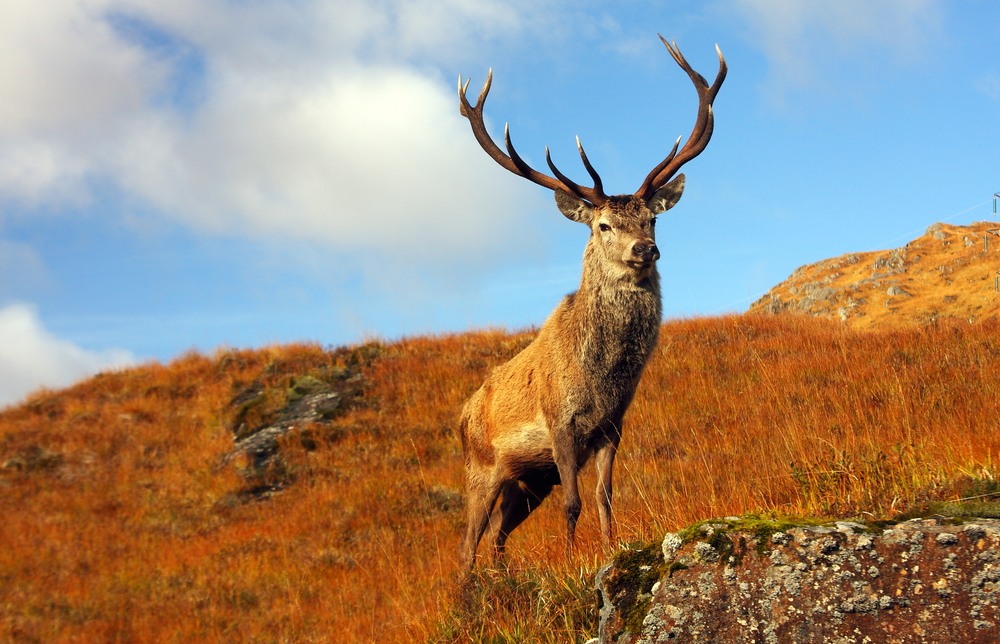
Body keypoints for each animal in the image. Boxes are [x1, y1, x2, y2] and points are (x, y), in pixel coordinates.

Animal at [456, 35, 728, 568]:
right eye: (603, 225)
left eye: (652, 219)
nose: (645, 249)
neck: (601, 380)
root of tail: (461, 416)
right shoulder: (561, 425)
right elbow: (574, 501)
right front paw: (569, 561)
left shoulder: (611, 427)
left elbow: (604, 496)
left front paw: (610, 549)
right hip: (482, 468)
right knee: (468, 542)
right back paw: (468, 586)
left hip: (526, 481)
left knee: (497, 533)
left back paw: (500, 579)